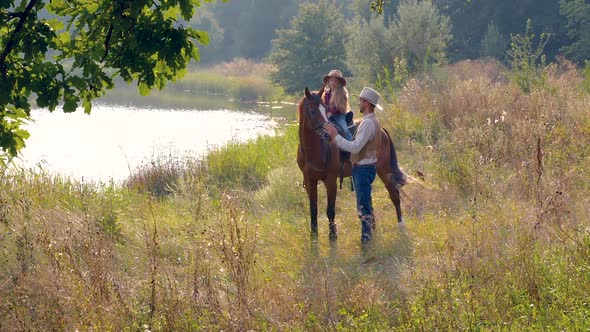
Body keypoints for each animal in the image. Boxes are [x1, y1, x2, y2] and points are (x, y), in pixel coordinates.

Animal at [296, 86, 408, 241]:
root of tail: (381, 130)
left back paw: (401, 226)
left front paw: (333, 239)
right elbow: (313, 211)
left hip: (384, 170)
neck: (314, 151)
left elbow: (330, 211)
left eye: (326, 109)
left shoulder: (330, 180)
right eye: (312, 110)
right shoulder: (310, 181)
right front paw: (314, 240)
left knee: (394, 194)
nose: (327, 135)